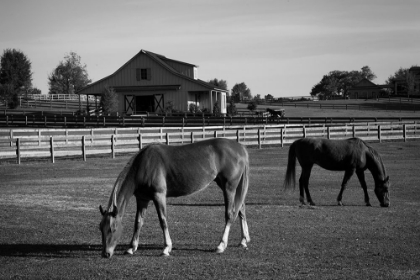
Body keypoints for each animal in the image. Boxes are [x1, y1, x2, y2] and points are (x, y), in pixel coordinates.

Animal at [98, 138, 249, 258]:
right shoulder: (142, 199)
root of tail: (240, 147)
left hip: (229, 188)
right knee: (241, 209)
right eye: (101, 228)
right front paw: (131, 248)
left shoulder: (159, 196)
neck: (144, 165)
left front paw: (166, 248)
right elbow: (138, 222)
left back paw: (221, 245)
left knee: (230, 214)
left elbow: (163, 221)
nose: (106, 254)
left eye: (112, 229)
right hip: (228, 186)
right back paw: (243, 240)